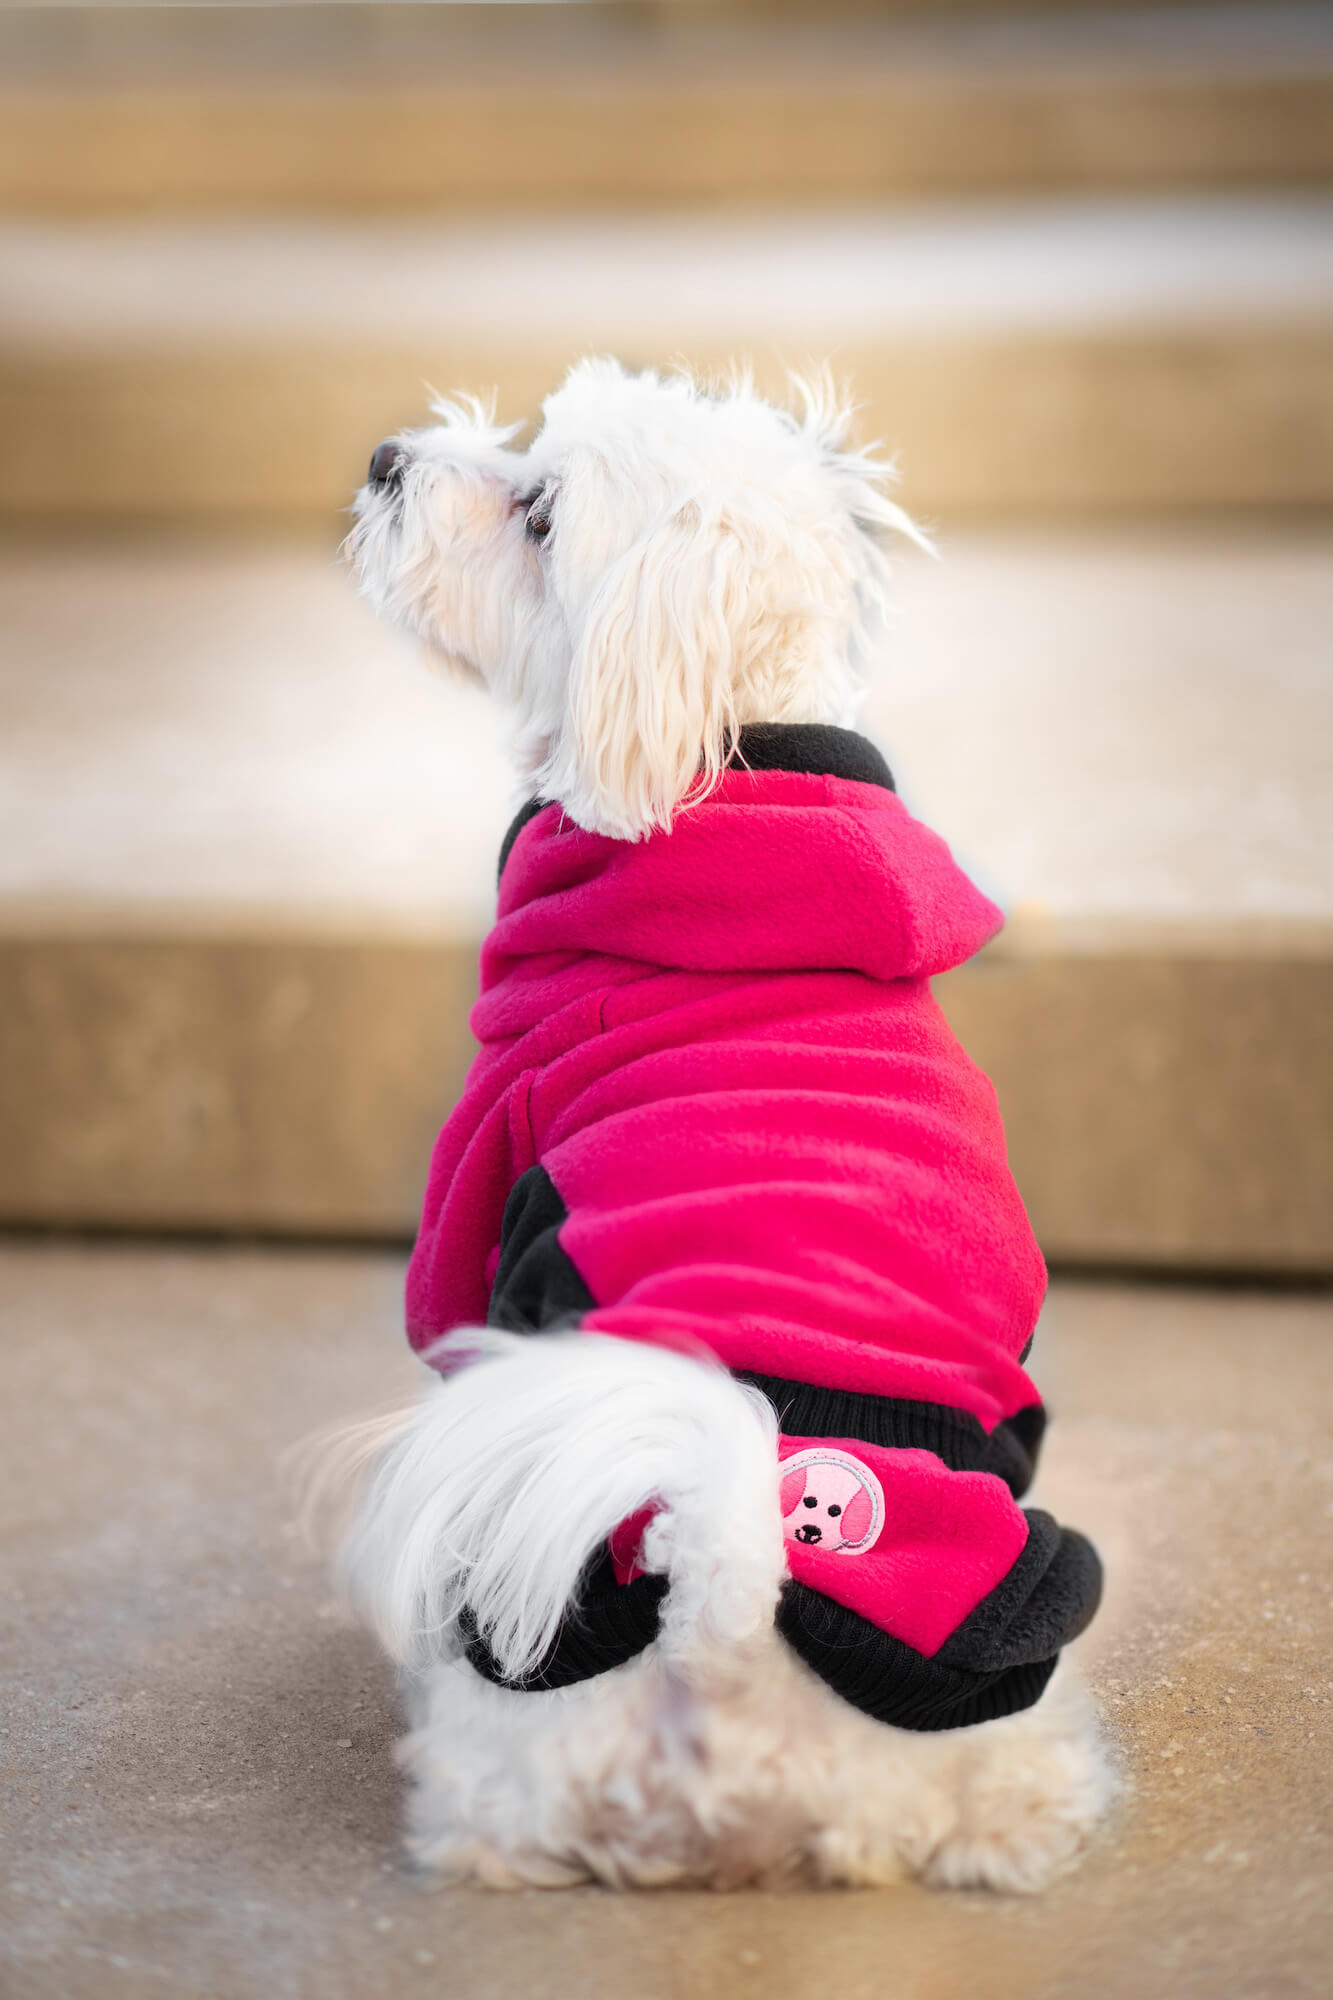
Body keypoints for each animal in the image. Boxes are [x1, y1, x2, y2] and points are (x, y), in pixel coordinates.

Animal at [334, 356, 1112, 1888]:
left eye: (539, 512)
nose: (388, 456)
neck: (728, 767)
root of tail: (734, 1623)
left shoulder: (488, 1152)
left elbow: (443, 1276)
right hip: (1010, 1663)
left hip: (515, 1680)